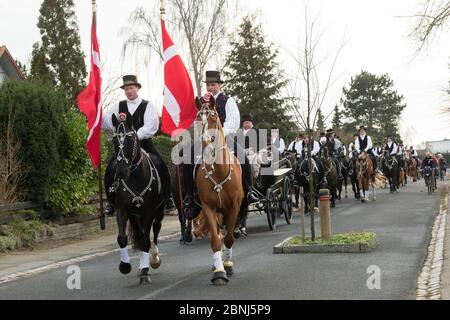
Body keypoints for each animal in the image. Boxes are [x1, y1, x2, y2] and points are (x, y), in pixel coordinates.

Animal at [110, 114, 166, 284]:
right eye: (114, 141)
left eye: (130, 140)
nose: (121, 171)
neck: (135, 177)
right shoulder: (122, 210)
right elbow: (122, 238)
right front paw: (125, 266)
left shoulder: (149, 212)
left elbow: (147, 240)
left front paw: (145, 272)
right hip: (135, 216)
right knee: (140, 236)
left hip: (159, 212)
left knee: (155, 231)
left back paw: (153, 259)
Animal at [195, 95, 244, 284]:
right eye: (197, 121)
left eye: (213, 118)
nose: (207, 145)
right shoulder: (208, 207)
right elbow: (216, 241)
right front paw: (219, 272)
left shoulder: (234, 207)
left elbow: (229, 238)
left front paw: (228, 265)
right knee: (218, 234)